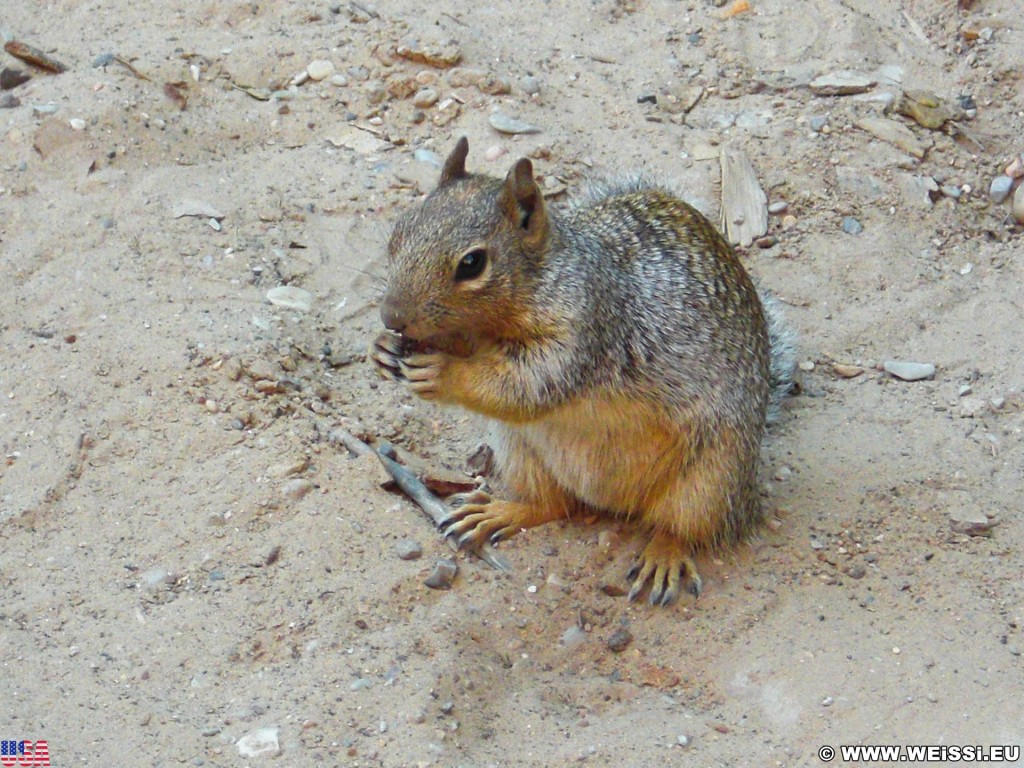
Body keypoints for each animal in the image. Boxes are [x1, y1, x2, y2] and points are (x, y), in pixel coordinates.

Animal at [372, 138, 794, 606]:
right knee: (554, 505)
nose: (391, 317)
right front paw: (383, 350)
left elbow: (527, 386)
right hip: (521, 453)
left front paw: (444, 373)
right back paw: (499, 512)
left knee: (685, 527)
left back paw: (664, 555)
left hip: (711, 478)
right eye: (399, 231)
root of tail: (615, 502)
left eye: (472, 264)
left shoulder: (588, 329)